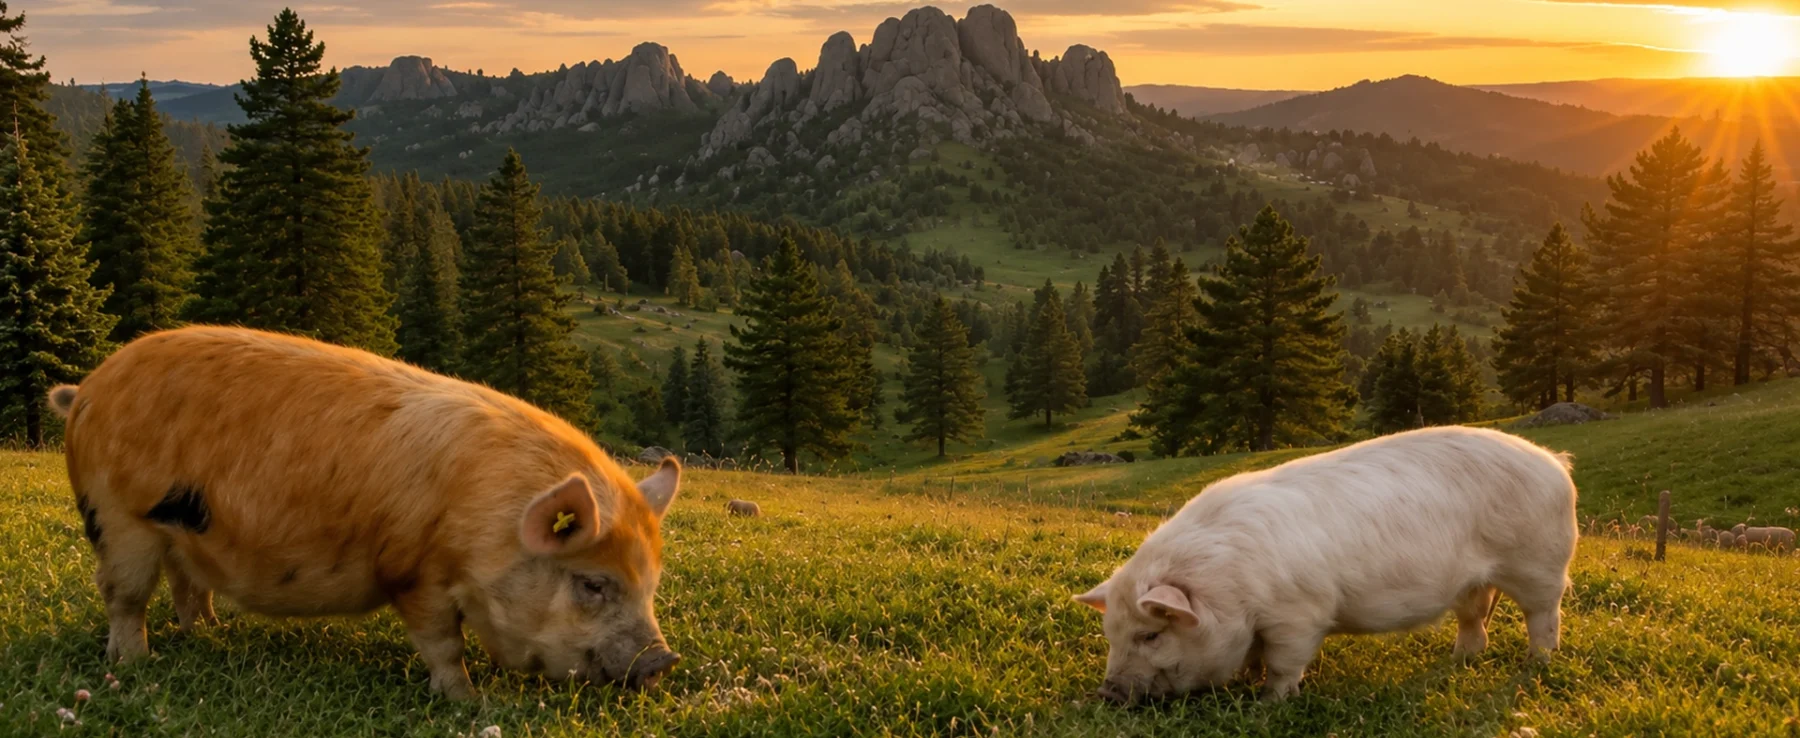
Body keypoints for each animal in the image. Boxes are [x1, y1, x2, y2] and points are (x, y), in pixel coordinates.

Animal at [48, 326, 683, 698]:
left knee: (187, 584)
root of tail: (85, 390)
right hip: (121, 518)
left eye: (652, 584)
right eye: (592, 584)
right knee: (124, 595)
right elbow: (443, 643)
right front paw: (468, 700)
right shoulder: (417, 573)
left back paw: (211, 633)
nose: (663, 660)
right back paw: (136, 665)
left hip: (181, 530)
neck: (488, 525)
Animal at [1074, 426, 1577, 702]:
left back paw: (1536, 664)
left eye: (1151, 634)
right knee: (1475, 620)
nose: (1106, 692)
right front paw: (1249, 680)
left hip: (1539, 562)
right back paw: (1457, 662)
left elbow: (1283, 663)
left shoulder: (1300, 614)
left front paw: (1268, 702)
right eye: (1110, 634)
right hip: (1472, 583)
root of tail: (1555, 462)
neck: (1229, 587)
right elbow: (1255, 655)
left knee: (1544, 615)